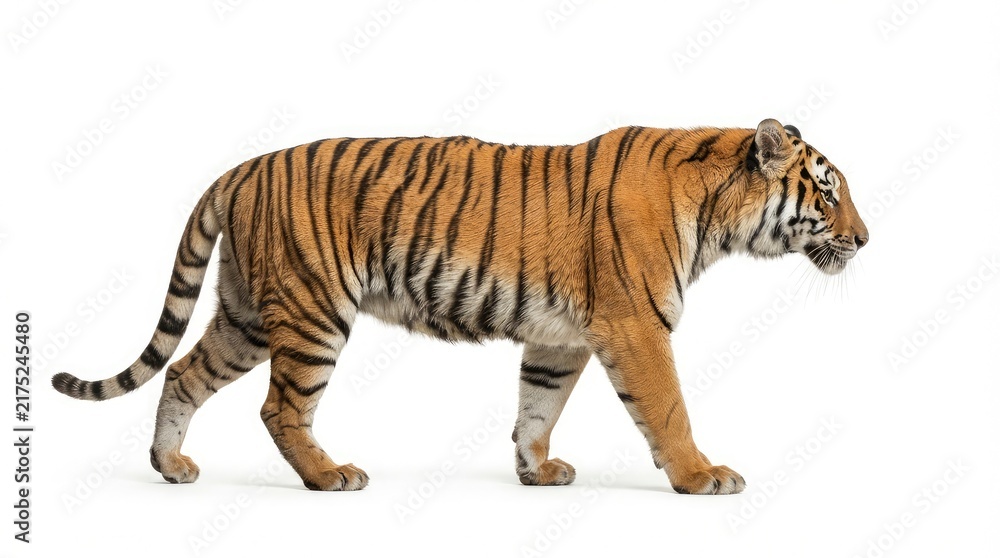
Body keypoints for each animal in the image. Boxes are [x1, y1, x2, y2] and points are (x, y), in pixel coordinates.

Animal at [52, 118, 868, 495]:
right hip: (313, 312)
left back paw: (171, 465)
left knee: (182, 373)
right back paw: (330, 476)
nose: (864, 239)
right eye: (828, 193)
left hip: (248, 313)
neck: (717, 215)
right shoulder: (637, 327)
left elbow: (537, 406)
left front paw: (537, 472)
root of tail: (244, 167)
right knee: (280, 408)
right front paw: (702, 477)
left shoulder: (561, 339)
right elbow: (668, 410)